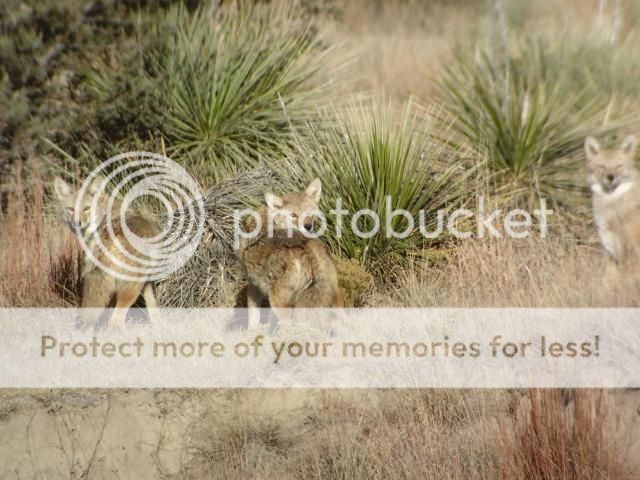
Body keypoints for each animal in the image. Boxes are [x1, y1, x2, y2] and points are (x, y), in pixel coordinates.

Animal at [54, 176, 160, 328]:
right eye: (71, 209)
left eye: (86, 208)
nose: (77, 223)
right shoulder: (149, 281)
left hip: (131, 287)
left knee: (114, 320)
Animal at [237, 179, 343, 328]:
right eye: (293, 215)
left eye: (309, 213)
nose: (308, 226)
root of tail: (306, 248)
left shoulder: (254, 286)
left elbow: (252, 322)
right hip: (335, 297)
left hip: (280, 305)